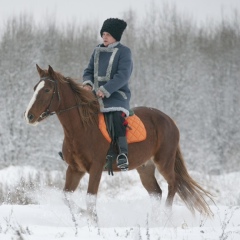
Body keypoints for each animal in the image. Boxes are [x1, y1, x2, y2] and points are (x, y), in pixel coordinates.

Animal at [24, 64, 213, 220]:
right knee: (156, 193)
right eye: (34, 88)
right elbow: (66, 197)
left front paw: (92, 222)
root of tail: (169, 120)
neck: (82, 128)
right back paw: (154, 221)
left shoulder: (96, 169)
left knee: (173, 185)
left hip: (164, 161)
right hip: (145, 167)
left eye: (47, 90)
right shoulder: (75, 169)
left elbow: (90, 199)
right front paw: (81, 216)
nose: (29, 116)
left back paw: (165, 218)